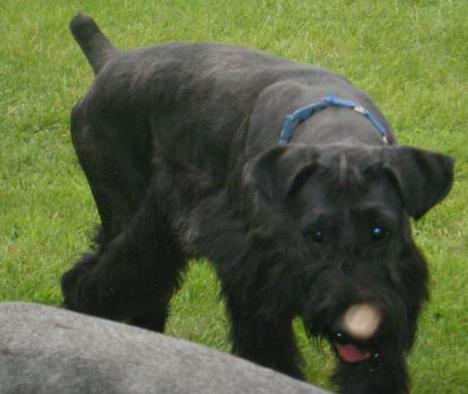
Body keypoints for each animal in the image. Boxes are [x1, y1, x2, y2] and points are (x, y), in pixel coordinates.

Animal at [62, 14, 454, 394]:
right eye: (316, 234)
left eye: (380, 230)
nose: (353, 322)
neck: (336, 128)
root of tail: (111, 61)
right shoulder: (255, 280)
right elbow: (268, 349)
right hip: (126, 213)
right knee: (100, 276)